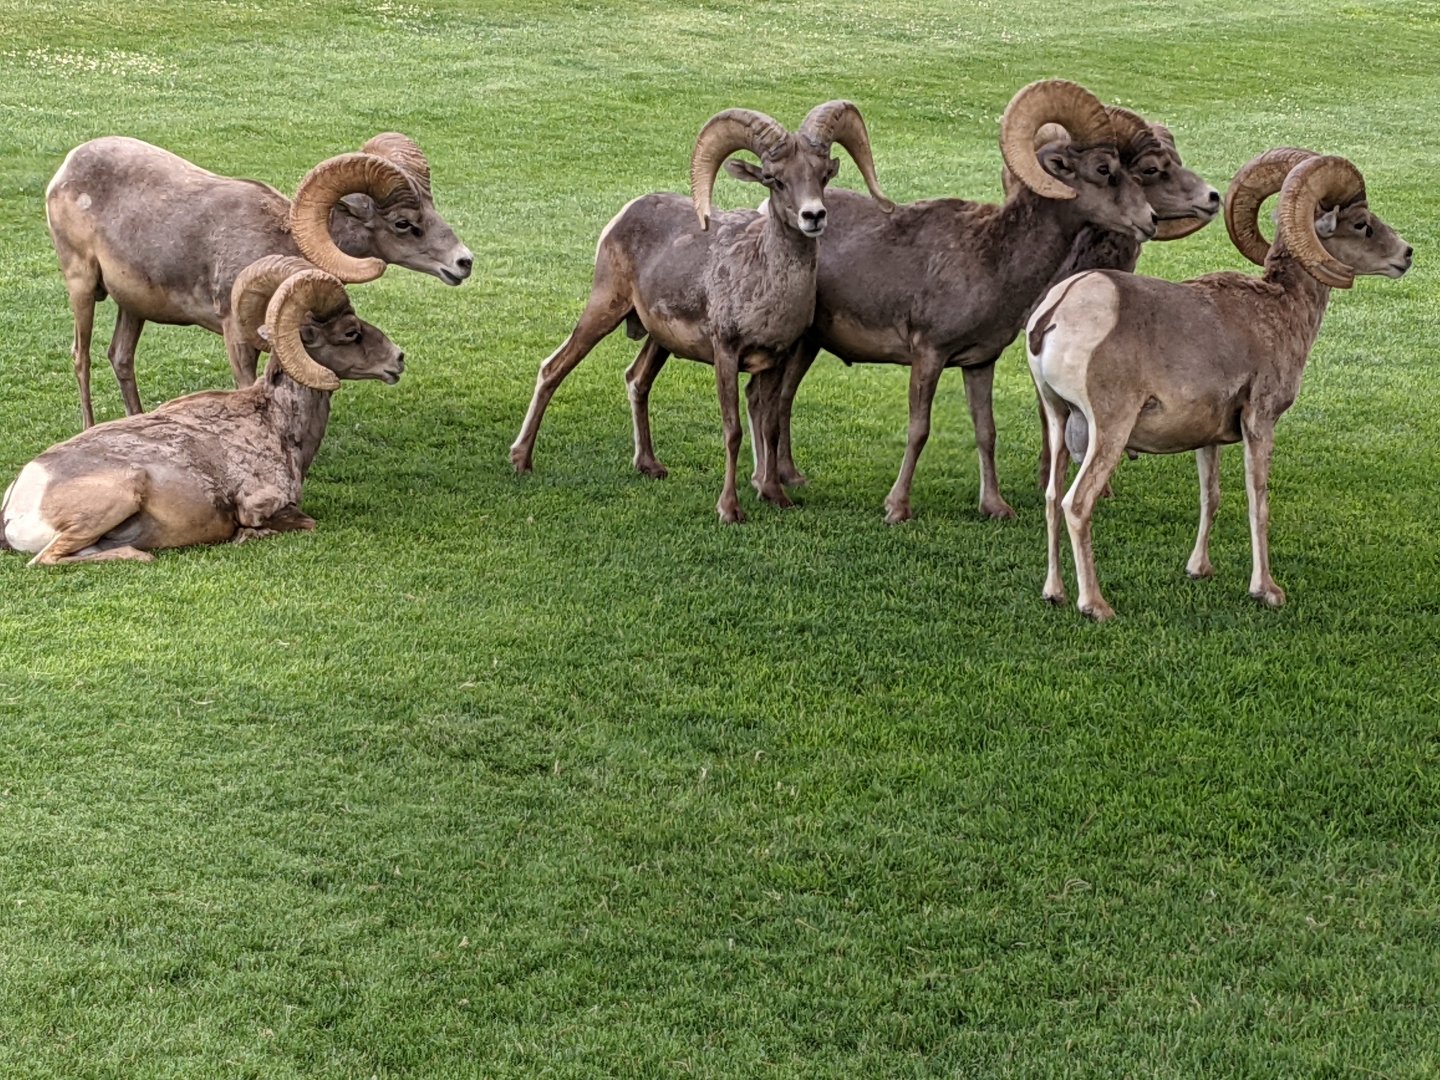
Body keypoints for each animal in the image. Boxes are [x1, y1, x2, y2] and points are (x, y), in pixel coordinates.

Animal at [0, 256, 405, 565]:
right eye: (351, 332)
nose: (398, 359)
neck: (276, 424)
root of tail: (18, 500)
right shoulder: (261, 505)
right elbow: (301, 523)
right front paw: (246, 536)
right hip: (118, 496)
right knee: (46, 560)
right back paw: (139, 554)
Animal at [45, 133, 468, 428]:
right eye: (403, 224)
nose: (463, 262)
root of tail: (65, 170)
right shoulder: (236, 337)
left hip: (132, 307)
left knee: (120, 357)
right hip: (82, 286)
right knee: (81, 357)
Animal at [508, 100, 893, 523]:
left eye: (823, 174)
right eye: (774, 180)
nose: (814, 216)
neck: (764, 283)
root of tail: (624, 214)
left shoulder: (776, 360)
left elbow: (771, 427)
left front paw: (776, 496)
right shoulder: (726, 354)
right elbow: (733, 430)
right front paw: (730, 510)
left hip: (658, 341)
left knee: (636, 380)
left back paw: (649, 466)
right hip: (603, 310)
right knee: (553, 369)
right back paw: (521, 460)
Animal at [626, 80, 1160, 524]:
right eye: (1104, 170)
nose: (1150, 220)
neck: (992, 257)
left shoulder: (978, 362)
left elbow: (986, 432)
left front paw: (995, 507)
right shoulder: (928, 354)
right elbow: (919, 429)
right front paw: (897, 508)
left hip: (805, 347)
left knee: (775, 404)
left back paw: (785, 480)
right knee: (771, 406)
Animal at [1026, 148, 1413, 620]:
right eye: (1361, 224)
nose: (1407, 254)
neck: (1281, 311)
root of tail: (1054, 312)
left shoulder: (1206, 438)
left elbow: (1210, 497)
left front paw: (1199, 569)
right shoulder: (1259, 421)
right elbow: (1257, 501)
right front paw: (1266, 591)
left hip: (1058, 419)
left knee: (1051, 498)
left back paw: (1054, 593)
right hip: (1109, 429)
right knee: (1076, 504)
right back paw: (1095, 605)